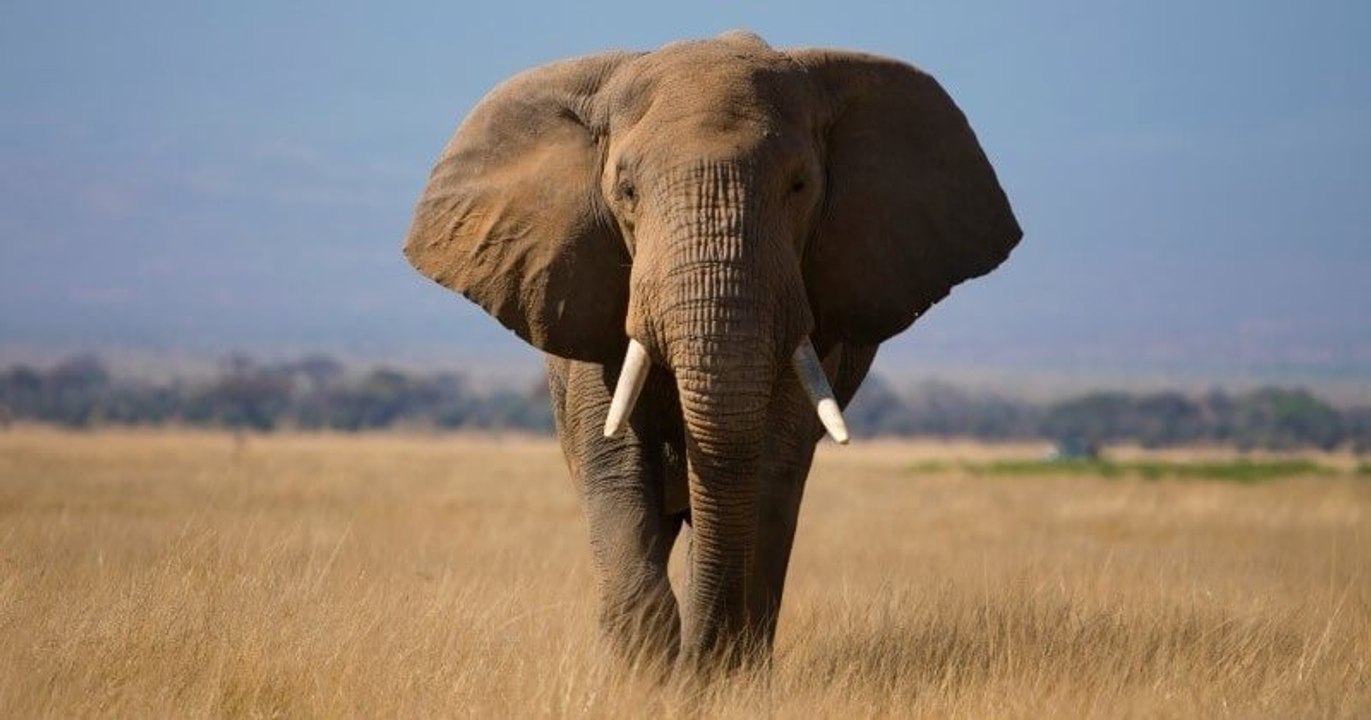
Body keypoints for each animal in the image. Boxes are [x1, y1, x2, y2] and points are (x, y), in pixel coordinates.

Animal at [403, 31, 1021, 671]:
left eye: (799, 187)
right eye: (626, 191)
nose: (697, 663)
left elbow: (768, 468)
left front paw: (717, 675)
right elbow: (615, 462)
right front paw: (646, 676)